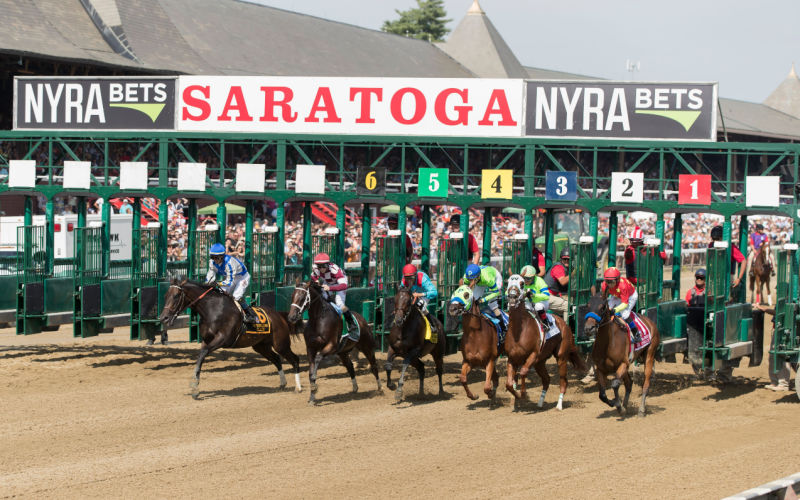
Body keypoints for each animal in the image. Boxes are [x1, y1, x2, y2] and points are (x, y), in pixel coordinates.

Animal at [158, 278, 302, 398]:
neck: (211, 309)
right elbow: (200, 356)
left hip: (281, 344)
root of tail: (280, 315)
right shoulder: (206, 340)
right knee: (277, 359)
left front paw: (194, 385)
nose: (163, 317)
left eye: (176, 296)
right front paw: (195, 388)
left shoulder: (223, 338)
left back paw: (298, 388)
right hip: (261, 346)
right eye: (165, 296)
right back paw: (283, 383)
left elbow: (203, 353)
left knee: (295, 359)